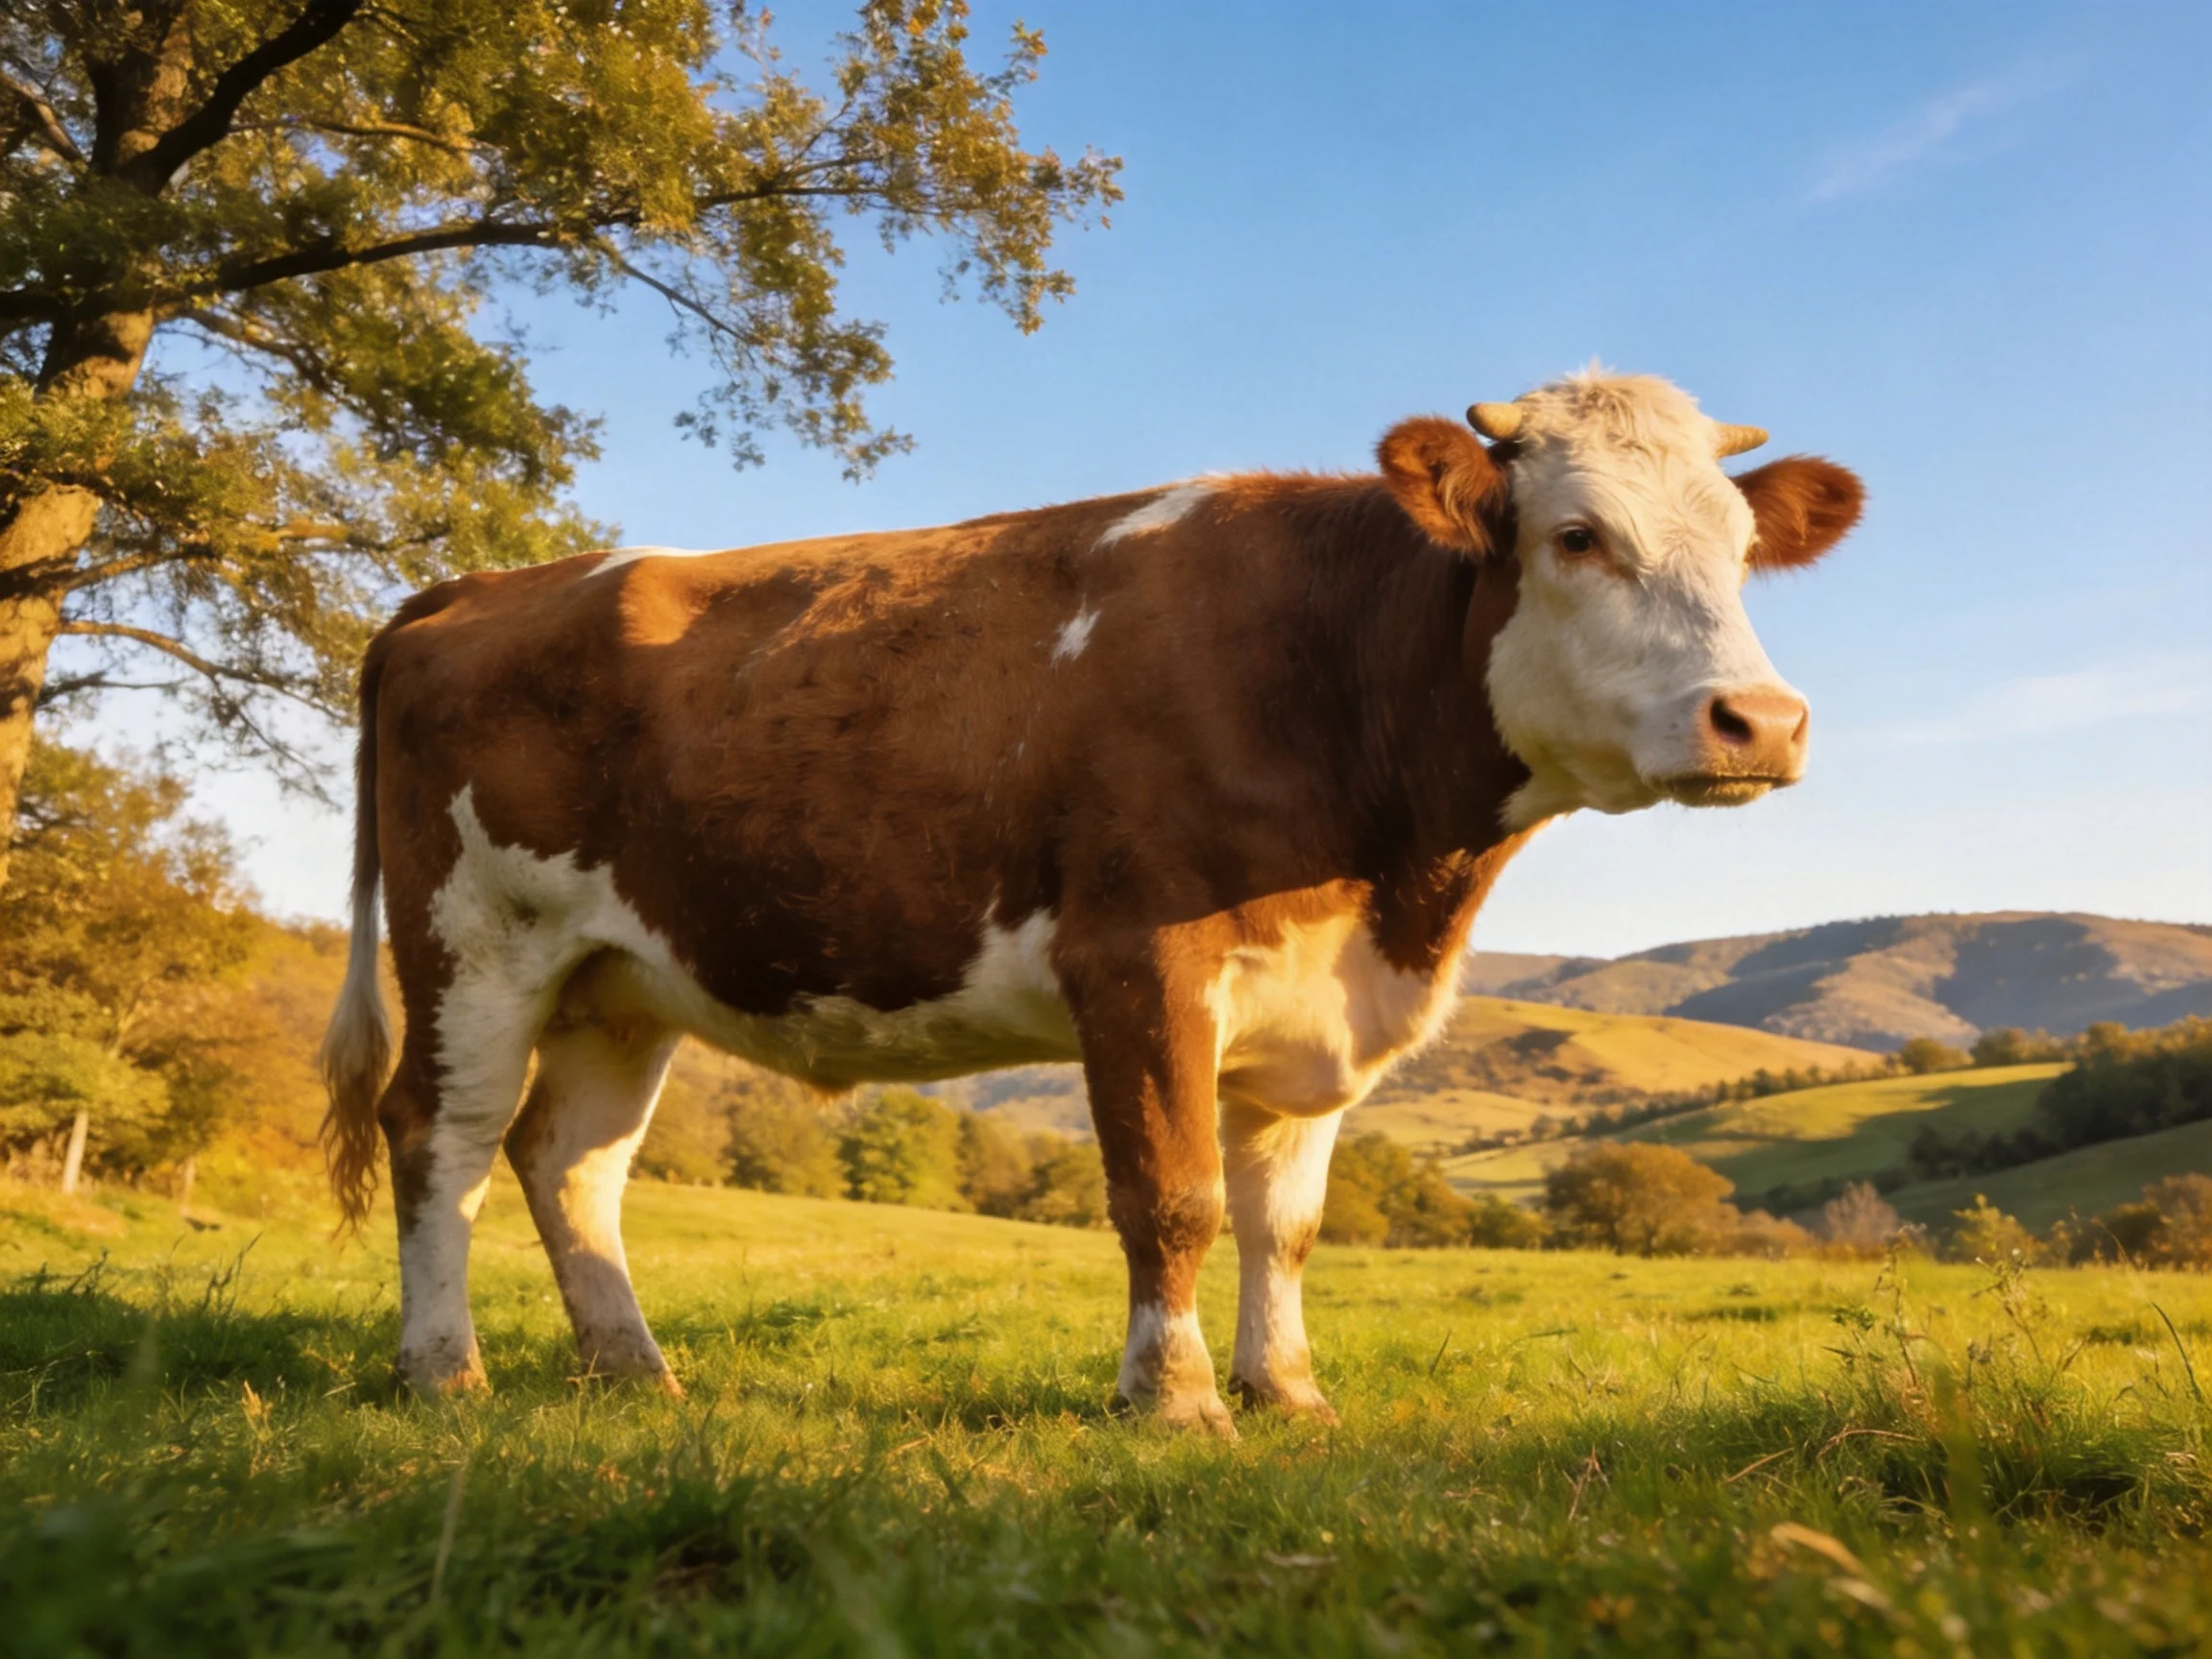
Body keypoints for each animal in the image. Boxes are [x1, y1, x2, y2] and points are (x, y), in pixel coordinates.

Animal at [319, 369, 1862, 1432]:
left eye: (1740, 549)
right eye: (1577, 536)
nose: (1763, 721)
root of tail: (473, 589)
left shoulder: (1313, 1013)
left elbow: (1285, 1222)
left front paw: (1289, 1394)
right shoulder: (1139, 961)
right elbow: (1172, 1198)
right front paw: (1174, 1401)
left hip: (619, 979)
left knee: (567, 1160)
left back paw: (636, 1373)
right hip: (474, 940)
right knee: (440, 1136)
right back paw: (442, 1372)